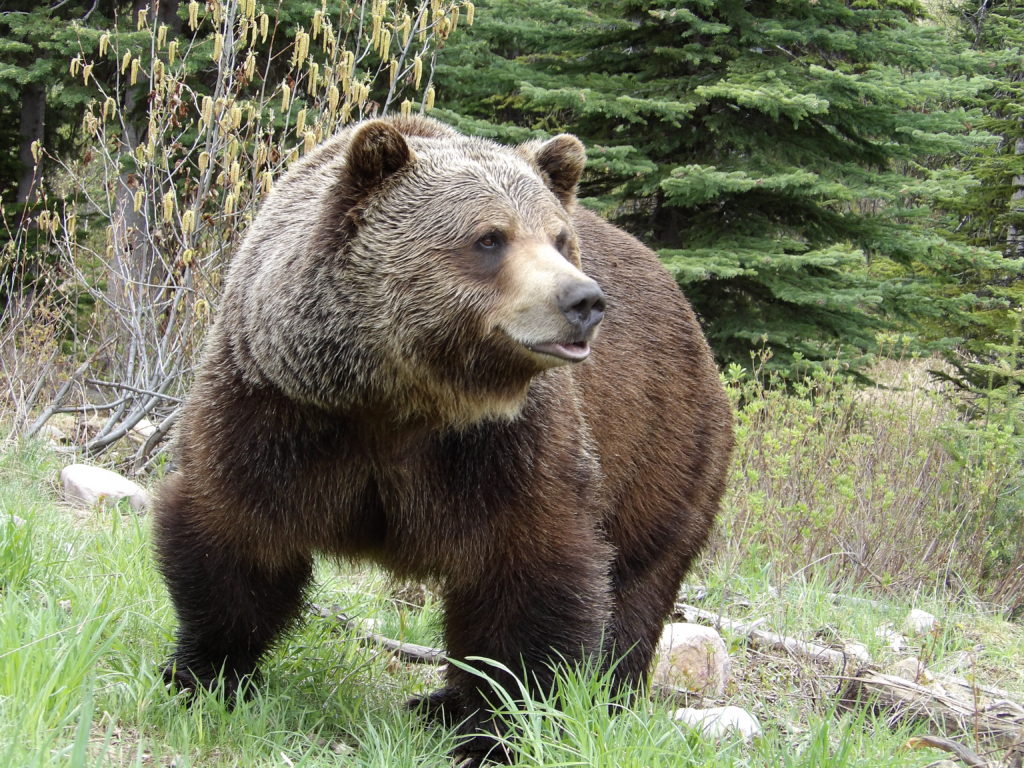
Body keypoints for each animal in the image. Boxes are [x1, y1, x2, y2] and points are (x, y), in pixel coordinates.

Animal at [151, 114, 733, 765]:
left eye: (559, 239)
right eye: (490, 238)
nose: (584, 300)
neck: (398, 396)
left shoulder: (506, 447)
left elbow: (529, 576)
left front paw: (496, 734)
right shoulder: (278, 407)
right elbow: (234, 535)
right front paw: (201, 676)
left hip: (666, 452)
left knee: (635, 585)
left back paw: (590, 699)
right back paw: (439, 703)